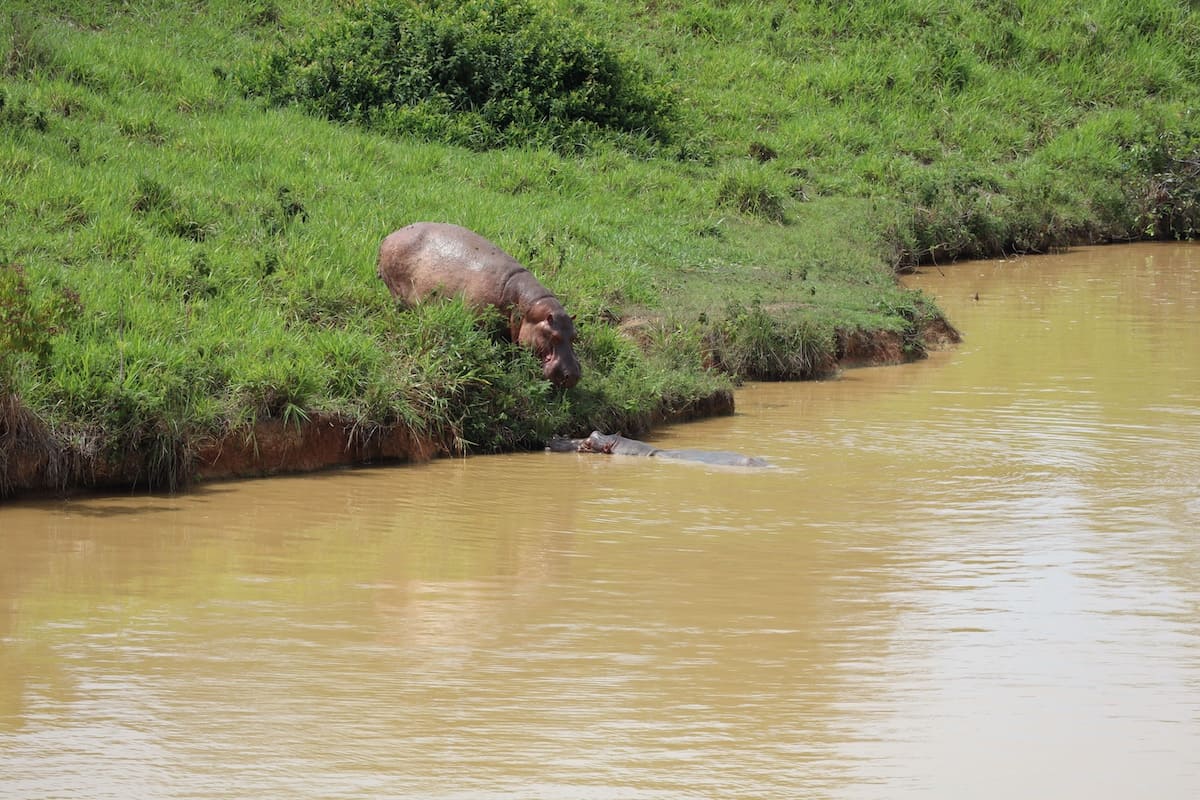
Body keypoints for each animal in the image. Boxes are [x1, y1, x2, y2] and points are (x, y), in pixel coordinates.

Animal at [374, 224, 580, 388]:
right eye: (553, 336)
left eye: (574, 336)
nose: (573, 375)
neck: (529, 307)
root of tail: (389, 236)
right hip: (397, 290)